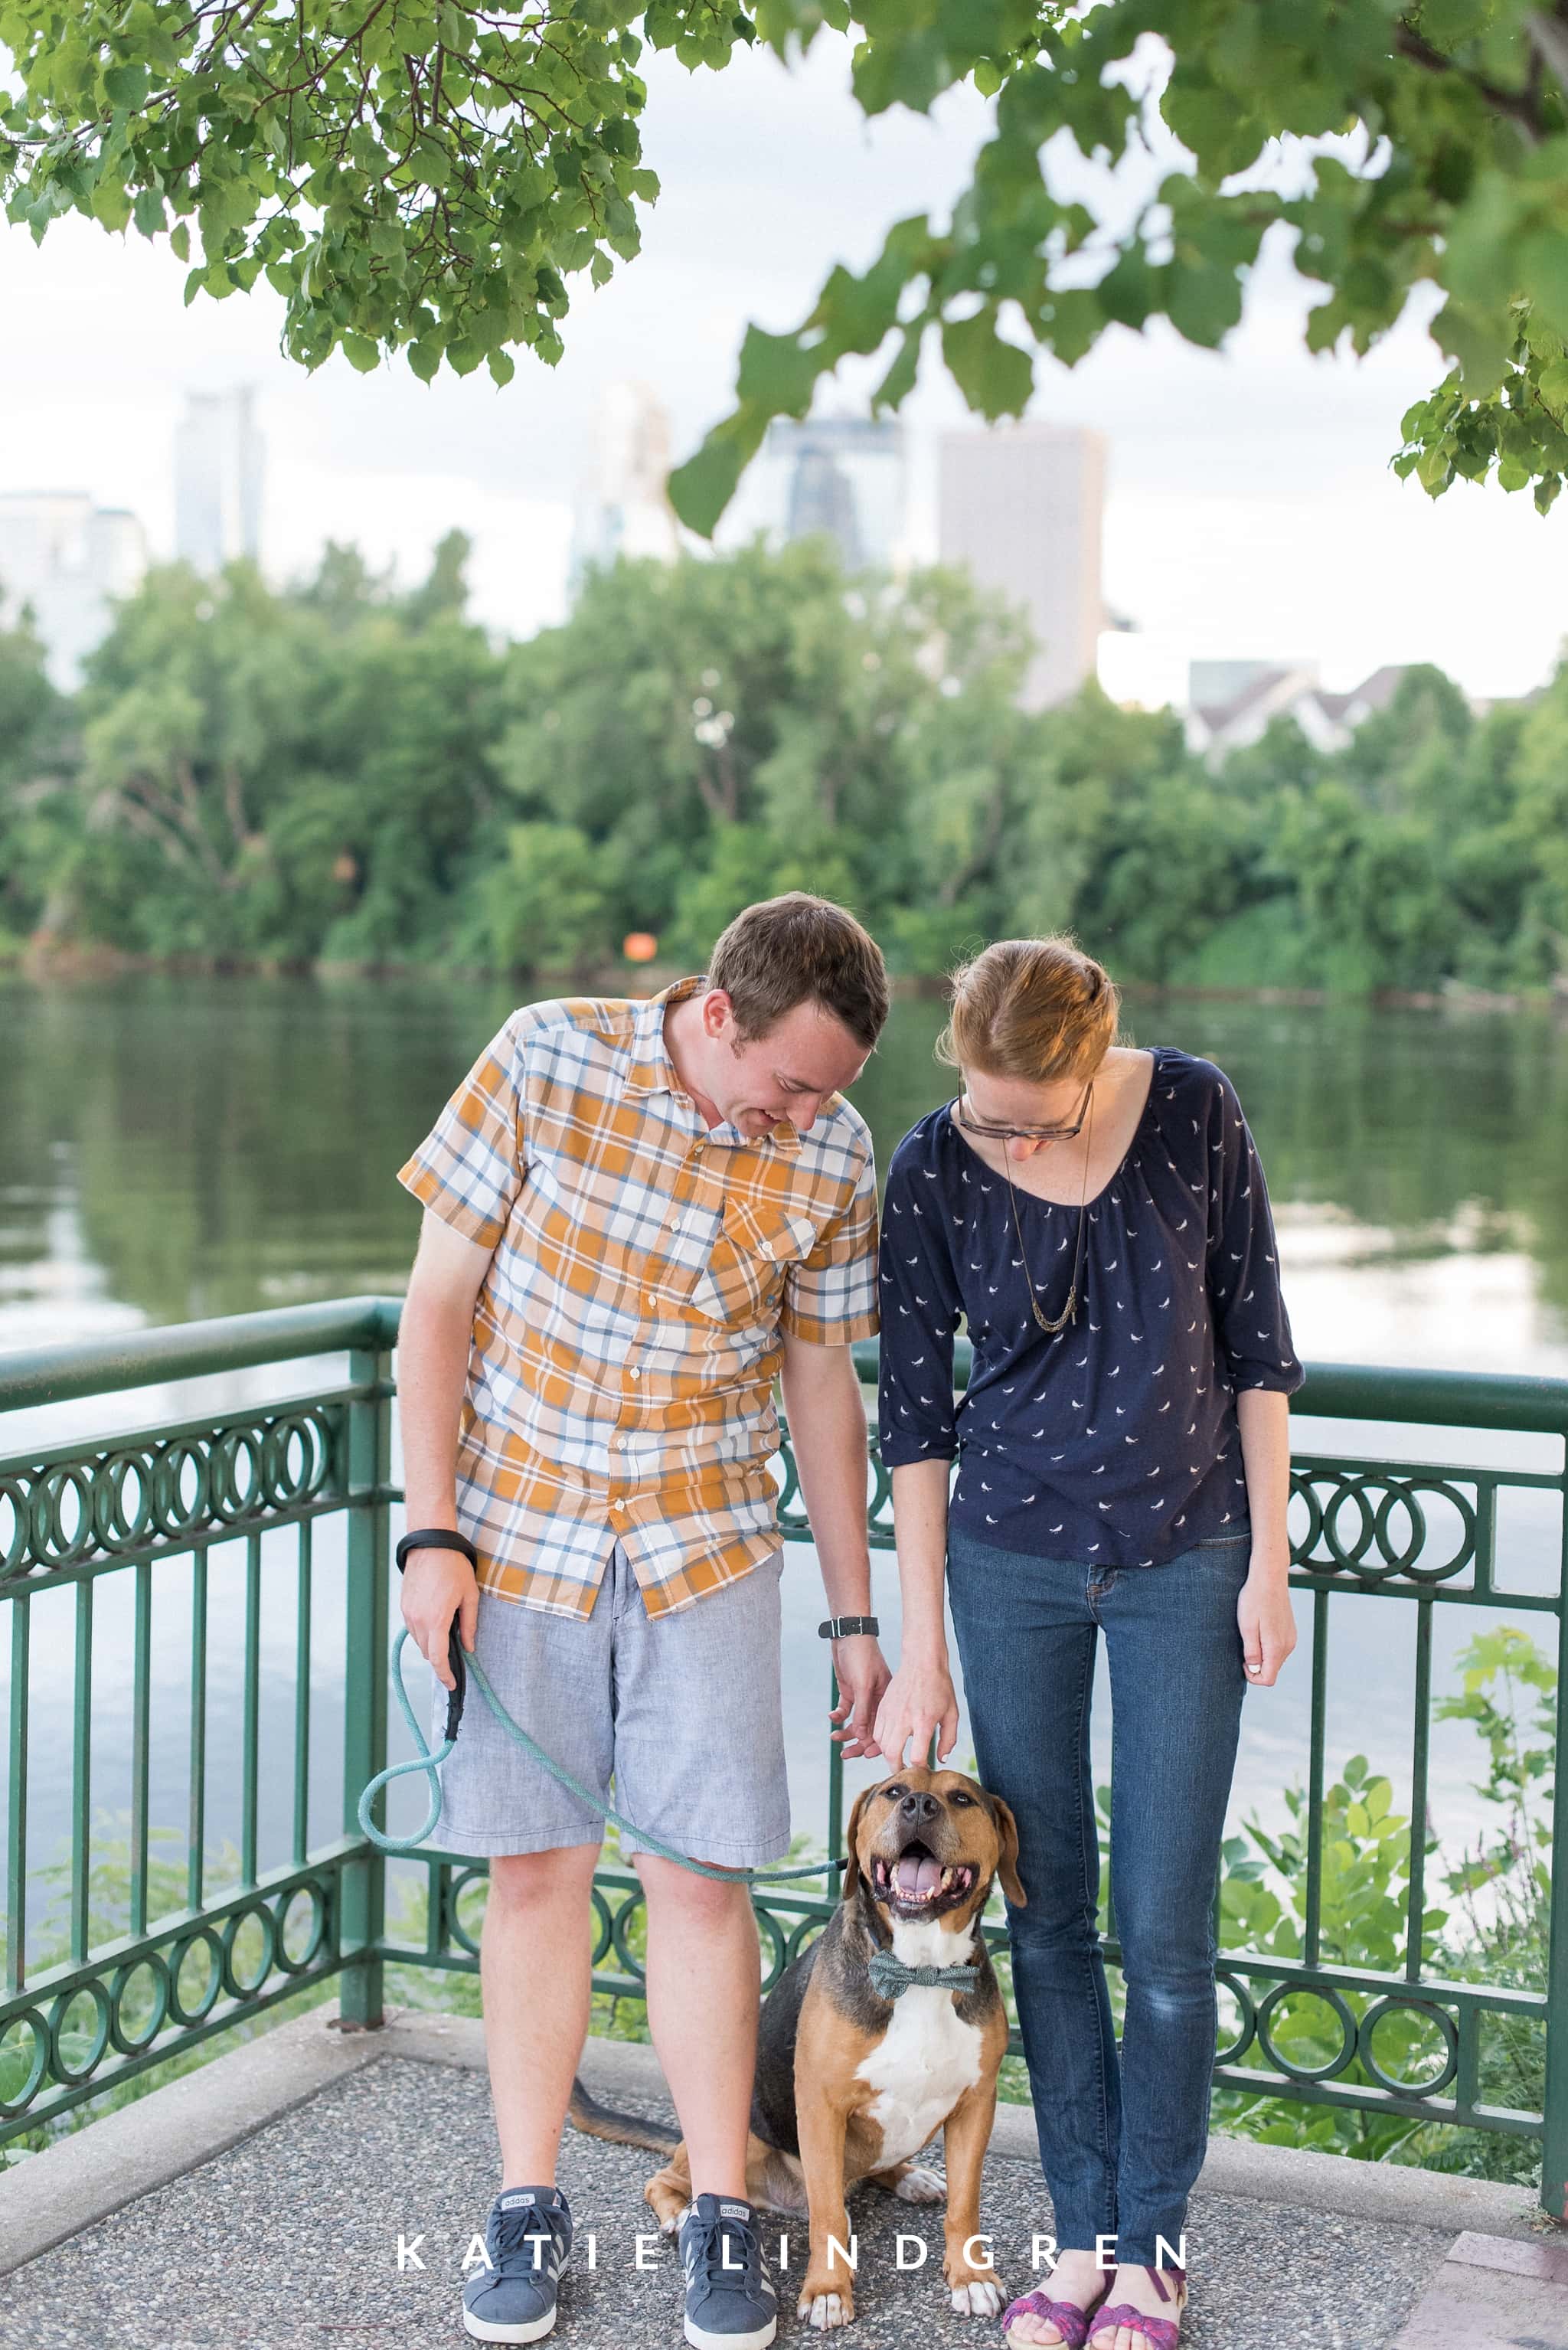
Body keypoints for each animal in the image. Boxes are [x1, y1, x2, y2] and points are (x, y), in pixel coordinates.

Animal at [571, 1767, 1024, 2331]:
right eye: (894, 1791)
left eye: (962, 1798)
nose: (919, 1805)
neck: (918, 1968)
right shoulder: (821, 2104)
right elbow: (828, 2214)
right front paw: (829, 2289)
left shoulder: (975, 2104)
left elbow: (965, 2205)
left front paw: (971, 2277)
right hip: (740, 2133)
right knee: (669, 2177)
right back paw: (680, 2212)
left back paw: (909, 2177)